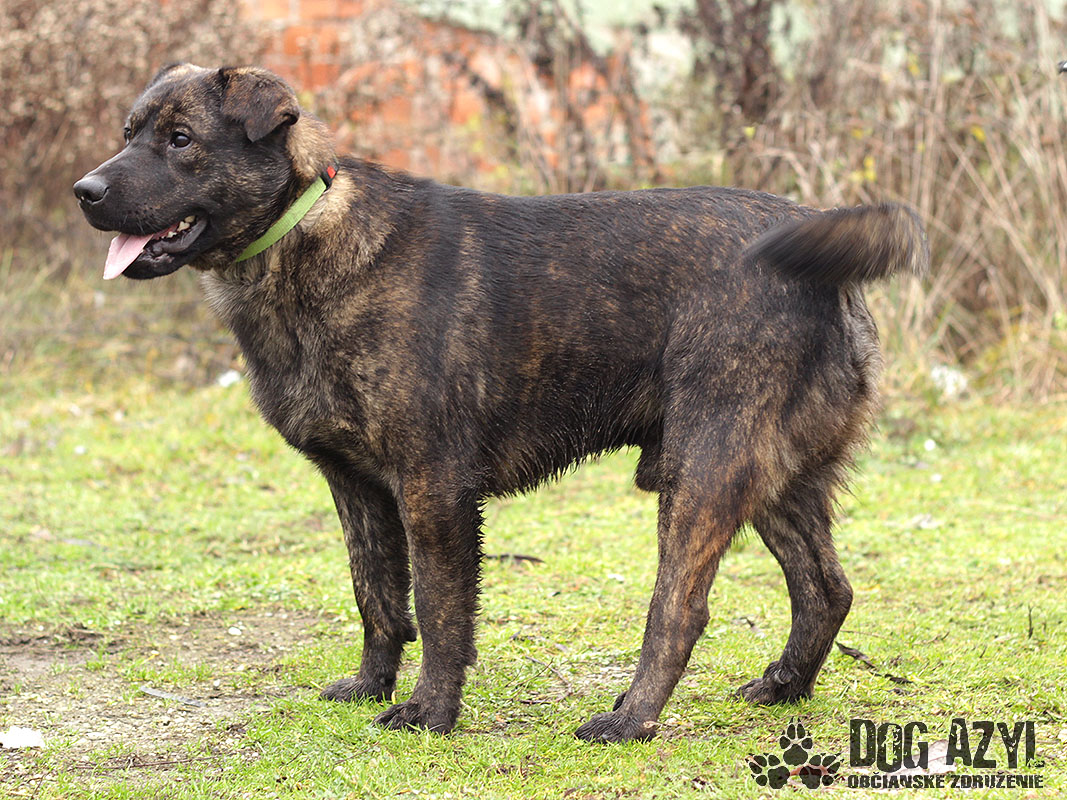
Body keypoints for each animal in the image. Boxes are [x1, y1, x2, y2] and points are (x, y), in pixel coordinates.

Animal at [74, 64, 928, 742]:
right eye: (129, 133)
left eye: (181, 139)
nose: (85, 191)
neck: (301, 239)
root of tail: (814, 245)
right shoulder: (356, 487)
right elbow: (375, 597)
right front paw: (372, 685)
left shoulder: (434, 488)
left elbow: (440, 610)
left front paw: (430, 713)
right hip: (773, 477)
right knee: (825, 589)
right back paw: (785, 687)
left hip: (704, 471)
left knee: (679, 611)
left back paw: (630, 720)